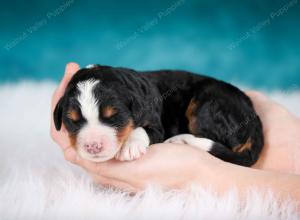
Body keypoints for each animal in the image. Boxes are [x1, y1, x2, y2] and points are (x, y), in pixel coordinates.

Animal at [52, 64, 264, 166]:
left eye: (114, 116)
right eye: (72, 121)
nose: (93, 146)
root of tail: (253, 117)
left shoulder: (155, 124)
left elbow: (141, 130)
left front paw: (130, 146)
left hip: (208, 106)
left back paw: (181, 140)